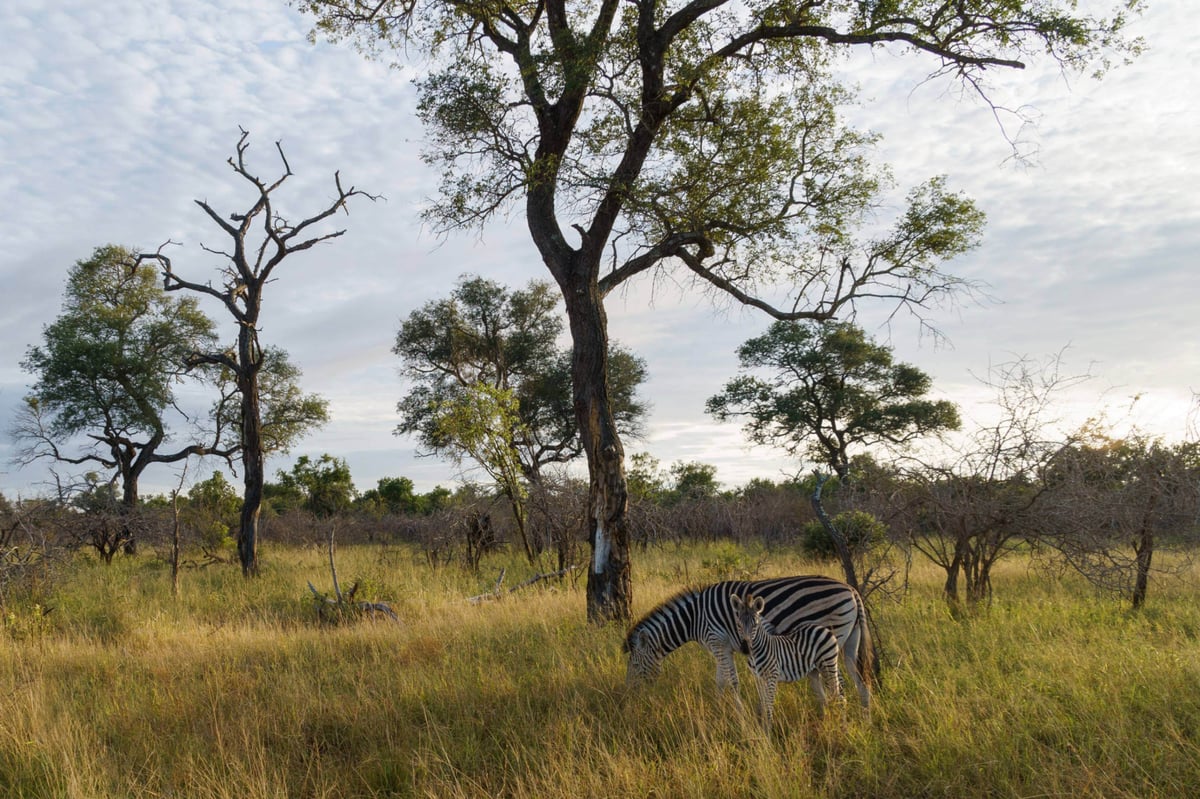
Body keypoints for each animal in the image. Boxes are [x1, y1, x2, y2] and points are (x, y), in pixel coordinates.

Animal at [619, 573, 873, 705]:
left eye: (635, 664)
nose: (627, 696)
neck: (694, 618)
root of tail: (852, 590)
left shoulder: (718, 643)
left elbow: (730, 682)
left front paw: (736, 714)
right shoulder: (723, 647)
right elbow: (722, 681)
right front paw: (720, 711)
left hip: (830, 643)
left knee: (839, 686)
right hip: (850, 642)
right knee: (860, 681)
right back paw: (864, 723)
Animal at [729, 590, 844, 729]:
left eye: (755, 624)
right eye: (738, 625)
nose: (745, 648)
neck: (756, 653)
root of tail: (823, 628)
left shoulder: (772, 676)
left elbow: (768, 705)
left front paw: (767, 730)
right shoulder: (758, 678)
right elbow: (762, 704)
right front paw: (761, 728)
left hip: (828, 664)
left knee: (837, 695)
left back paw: (840, 724)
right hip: (814, 671)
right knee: (823, 699)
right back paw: (825, 724)